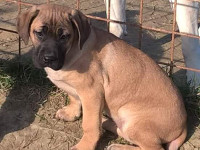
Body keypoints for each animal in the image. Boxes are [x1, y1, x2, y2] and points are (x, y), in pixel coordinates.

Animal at [17, 4, 188, 149]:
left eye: (64, 37)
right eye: (39, 33)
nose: (49, 58)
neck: (72, 51)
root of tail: (183, 127)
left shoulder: (92, 93)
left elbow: (89, 125)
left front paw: (85, 146)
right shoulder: (77, 90)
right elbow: (74, 98)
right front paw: (71, 113)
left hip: (136, 123)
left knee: (153, 148)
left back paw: (117, 145)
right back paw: (107, 123)